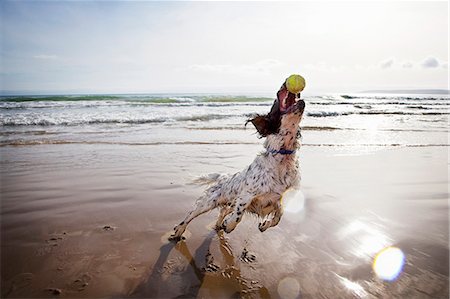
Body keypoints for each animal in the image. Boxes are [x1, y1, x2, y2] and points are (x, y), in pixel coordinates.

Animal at [169, 81, 306, 241]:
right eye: (275, 102)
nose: (284, 83)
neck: (282, 158)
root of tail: (223, 177)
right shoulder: (246, 195)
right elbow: (238, 214)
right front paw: (229, 225)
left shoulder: (276, 199)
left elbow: (279, 216)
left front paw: (264, 225)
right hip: (208, 201)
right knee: (189, 216)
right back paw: (179, 231)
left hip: (227, 203)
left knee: (223, 212)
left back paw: (218, 226)